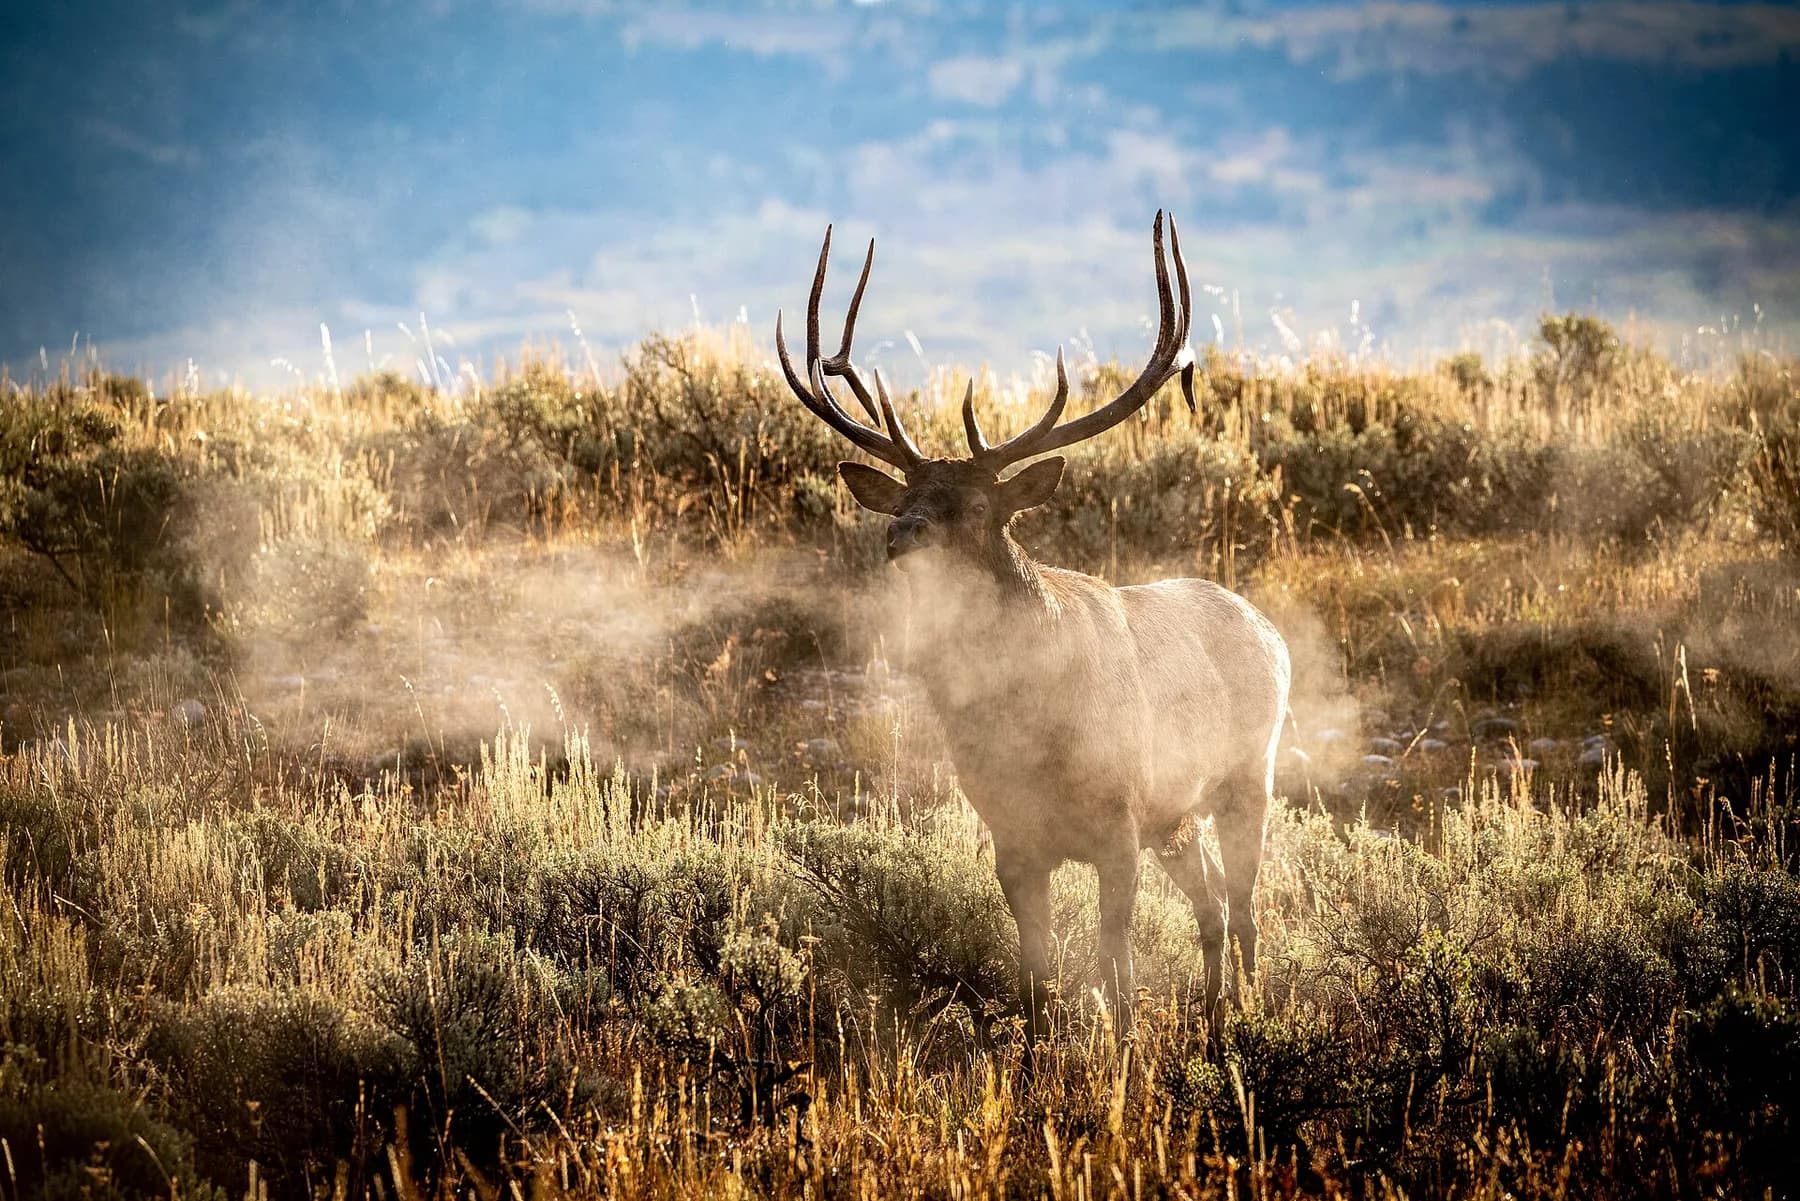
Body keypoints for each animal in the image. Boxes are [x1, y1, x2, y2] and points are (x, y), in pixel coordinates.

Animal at [774, 212, 1291, 1043]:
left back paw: (1245, 1015)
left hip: (1249, 772)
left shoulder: (1118, 822)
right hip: (1177, 816)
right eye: (906, 498)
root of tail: (1272, 632)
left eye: (981, 504)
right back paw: (1212, 1013)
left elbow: (1116, 969)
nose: (903, 532)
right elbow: (1037, 981)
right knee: (1211, 902)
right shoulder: (1012, 837)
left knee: (1244, 908)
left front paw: (1122, 1052)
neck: (1031, 728)